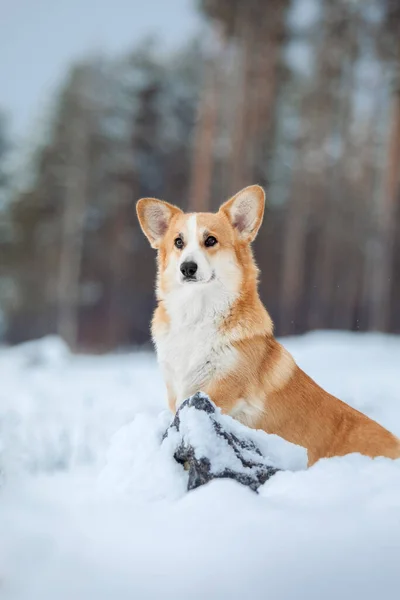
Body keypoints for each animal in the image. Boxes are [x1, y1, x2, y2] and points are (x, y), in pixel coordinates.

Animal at [138, 185, 400, 466]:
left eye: (210, 241)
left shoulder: (221, 391)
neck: (198, 313)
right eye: (179, 242)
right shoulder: (176, 390)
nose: (187, 268)